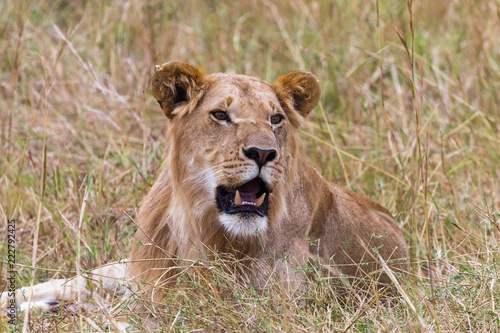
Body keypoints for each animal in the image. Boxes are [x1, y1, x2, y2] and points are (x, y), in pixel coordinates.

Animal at [0, 61, 406, 314]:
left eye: (275, 119)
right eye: (221, 115)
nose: (264, 152)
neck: (197, 221)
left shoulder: (260, 302)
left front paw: (56, 310)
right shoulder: (144, 270)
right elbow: (82, 284)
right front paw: (27, 301)